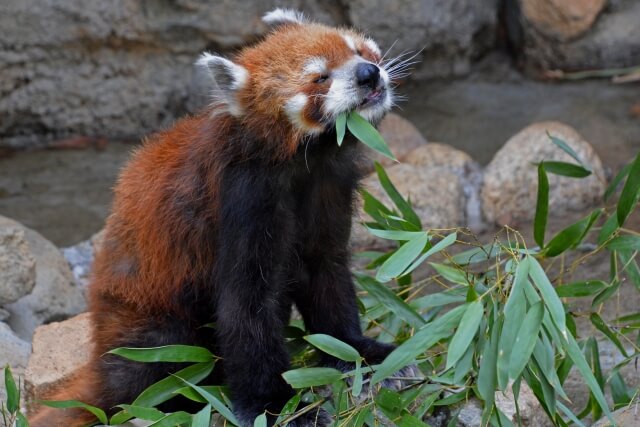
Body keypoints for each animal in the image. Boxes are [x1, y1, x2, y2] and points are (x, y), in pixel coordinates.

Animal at [30, 7, 402, 427]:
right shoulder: (244, 198)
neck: (305, 161)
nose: (369, 73)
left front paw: (360, 353)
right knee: (158, 362)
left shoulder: (329, 187)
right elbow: (246, 305)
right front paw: (276, 406)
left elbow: (326, 273)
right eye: (320, 77)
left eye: (358, 50)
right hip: (150, 324)